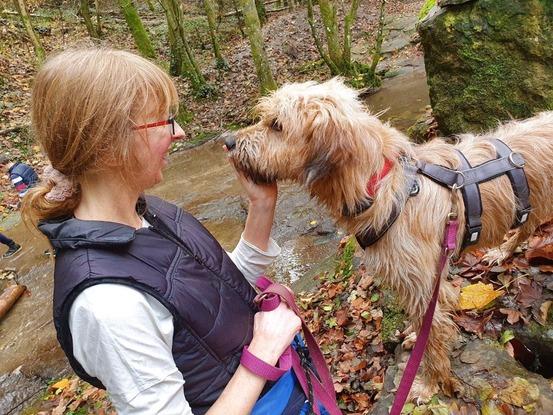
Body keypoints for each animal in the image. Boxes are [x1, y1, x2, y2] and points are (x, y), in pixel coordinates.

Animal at [222, 78, 552, 400]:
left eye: (276, 125)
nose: (228, 141)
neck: (380, 185)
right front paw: (415, 339)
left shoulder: (423, 285)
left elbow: (432, 337)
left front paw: (430, 384)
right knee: (527, 226)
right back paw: (504, 251)